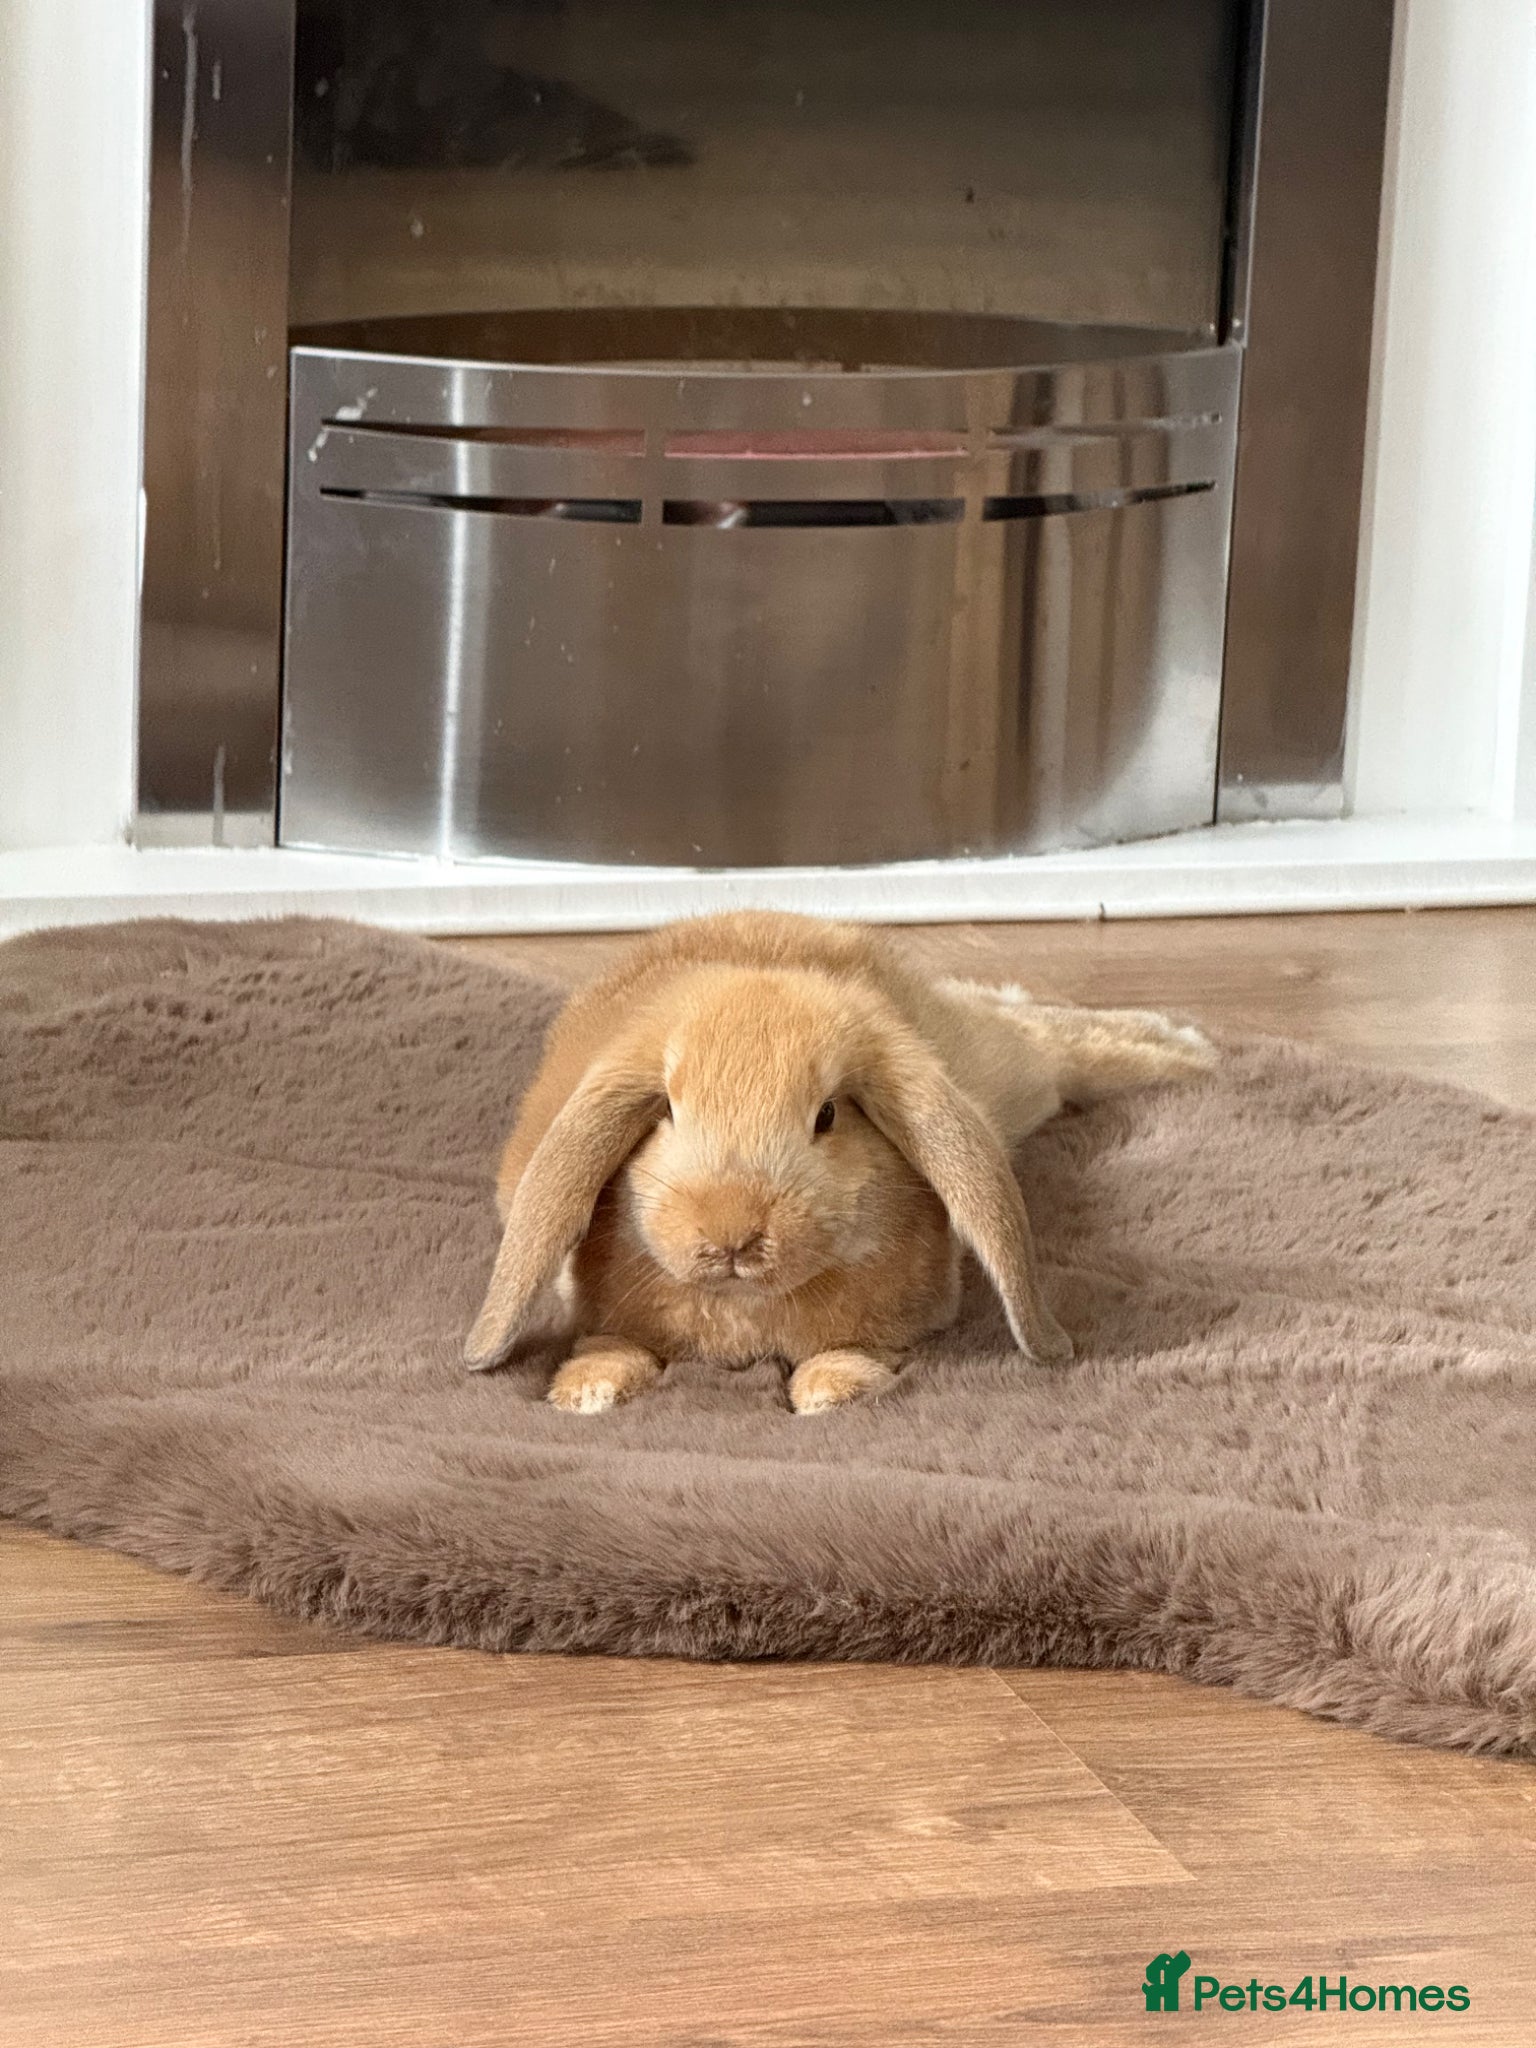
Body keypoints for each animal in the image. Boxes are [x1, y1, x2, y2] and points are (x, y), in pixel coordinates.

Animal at [465, 911, 1215, 1414]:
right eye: (667, 1113)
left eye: (826, 1115)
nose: (731, 1235)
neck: (748, 1308)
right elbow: (612, 1344)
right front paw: (585, 1389)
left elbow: (859, 1352)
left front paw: (830, 1388)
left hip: (1008, 1072)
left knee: (1048, 1036)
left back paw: (1187, 1050)